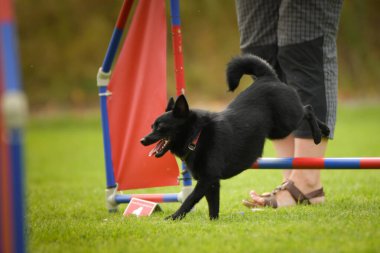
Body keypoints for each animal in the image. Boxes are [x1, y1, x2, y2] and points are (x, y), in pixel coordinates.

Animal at [140, 54, 330, 219]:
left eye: (161, 127)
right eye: (151, 126)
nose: (142, 140)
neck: (197, 136)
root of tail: (267, 78)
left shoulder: (207, 179)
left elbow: (190, 199)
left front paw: (174, 217)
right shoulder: (212, 183)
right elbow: (213, 206)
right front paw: (214, 223)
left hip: (285, 124)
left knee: (307, 109)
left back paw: (320, 134)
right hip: (278, 131)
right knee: (306, 109)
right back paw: (325, 130)